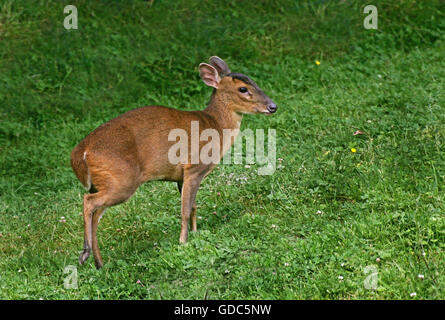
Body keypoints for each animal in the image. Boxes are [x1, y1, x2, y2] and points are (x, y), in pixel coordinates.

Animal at [70, 56, 276, 268]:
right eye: (243, 89)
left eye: (254, 82)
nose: (272, 106)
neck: (215, 125)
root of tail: (80, 153)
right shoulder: (194, 168)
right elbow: (185, 209)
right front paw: (183, 241)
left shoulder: (181, 176)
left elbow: (193, 206)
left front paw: (195, 233)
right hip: (121, 180)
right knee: (88, 202)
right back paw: (84, 254)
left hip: (105, 182)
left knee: (96, 215)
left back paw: (99, 263)